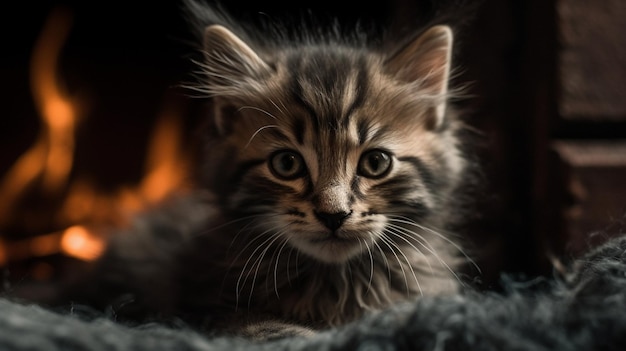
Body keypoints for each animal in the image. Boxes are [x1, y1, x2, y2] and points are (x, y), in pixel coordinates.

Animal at [58, 0, 478, 340]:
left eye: (375, 163)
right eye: (286, 164)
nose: (334, 215)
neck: (335, 282)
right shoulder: (205, 308)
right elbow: (270, 328)